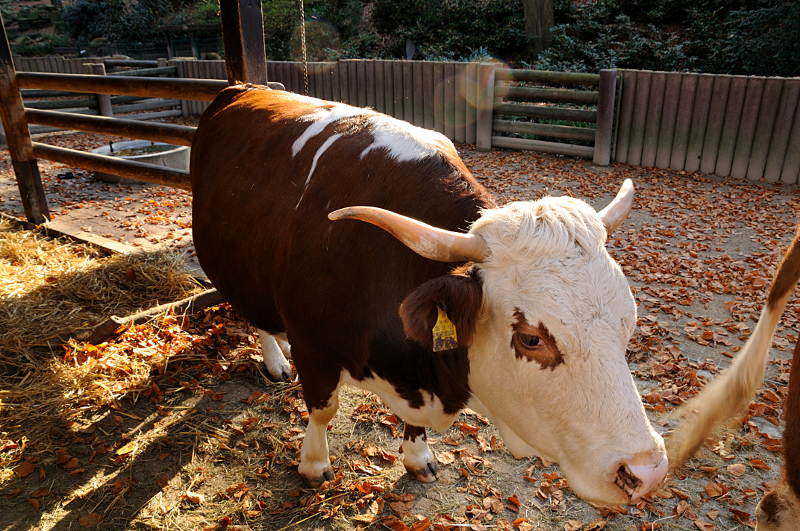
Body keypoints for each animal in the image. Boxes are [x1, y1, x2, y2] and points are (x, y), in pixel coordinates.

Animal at [190, 84, 668, 506]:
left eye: (629, 322)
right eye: (532, 338)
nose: (646, 472)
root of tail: (241, 87)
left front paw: (417, 457)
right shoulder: (315, 347)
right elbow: (323, 410)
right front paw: (313, 465)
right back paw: (275, 359)